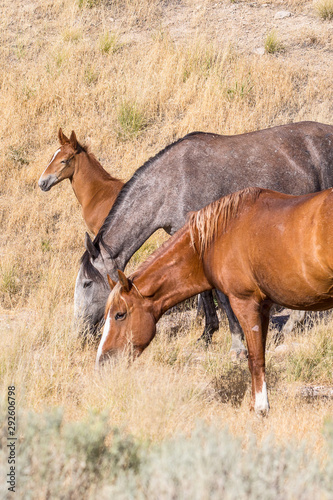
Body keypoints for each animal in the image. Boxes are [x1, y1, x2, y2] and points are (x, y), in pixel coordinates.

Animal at [74, 120, 332, 356]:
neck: (170, 184)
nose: (80, 330)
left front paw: (237, 342)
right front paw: (207, 333)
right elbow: (204, 292)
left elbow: (219, 295)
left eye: (87, 283)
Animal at [94, 188, 333, 414]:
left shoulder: (245, 303)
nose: (102, 362)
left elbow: (255, 359)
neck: (215, 239)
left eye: (120, 314)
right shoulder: (263, 307)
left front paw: (260, 409)